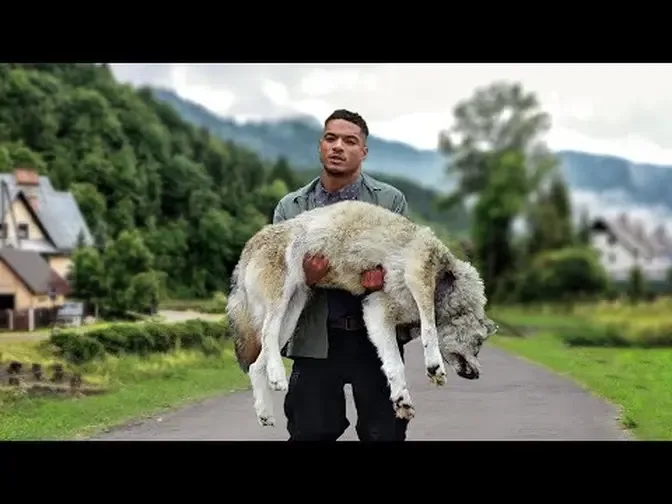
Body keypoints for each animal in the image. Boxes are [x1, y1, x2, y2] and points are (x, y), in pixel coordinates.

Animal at [228, 199, 496, 428]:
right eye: (478, 344)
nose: (478, 375)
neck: (446, 284)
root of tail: (248, 246)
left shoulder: (376, 312)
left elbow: (394, 365)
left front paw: (402, 400)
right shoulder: (420, 277)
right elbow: (429, 328)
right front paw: (434, 366)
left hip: (292, 312)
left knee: (256, 364)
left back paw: (265, 412)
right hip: (281, 302)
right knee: (267, 334)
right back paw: (278, 376)